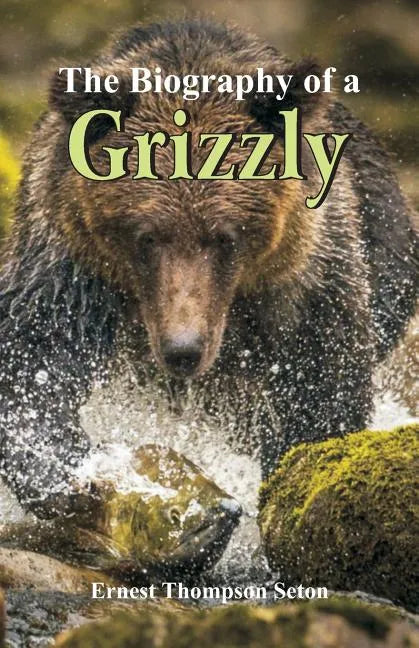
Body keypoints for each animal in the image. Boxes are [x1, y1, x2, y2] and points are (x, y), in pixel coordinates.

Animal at [0, 19, 417, 519]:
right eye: (147, 236)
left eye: (225, 237)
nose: (184, 350)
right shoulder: (70, 262)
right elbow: (35, 357)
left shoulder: (304, 280)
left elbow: (320, 389)